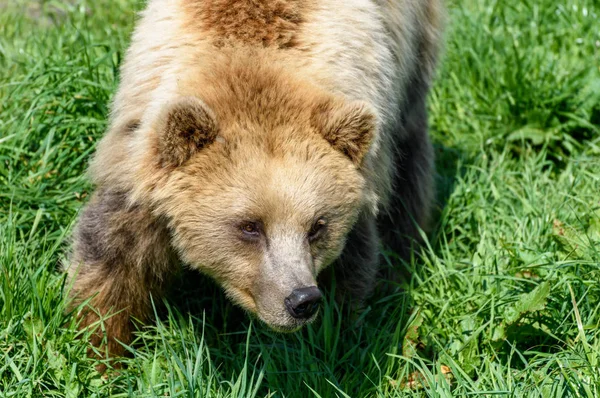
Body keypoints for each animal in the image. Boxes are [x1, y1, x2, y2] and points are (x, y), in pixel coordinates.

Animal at [65, 0, 442, 360]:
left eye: (318, 225)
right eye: (249, 225)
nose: (301, 299)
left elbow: (351, 270)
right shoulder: (140, 169)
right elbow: (114, 258)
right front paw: (103, 349)